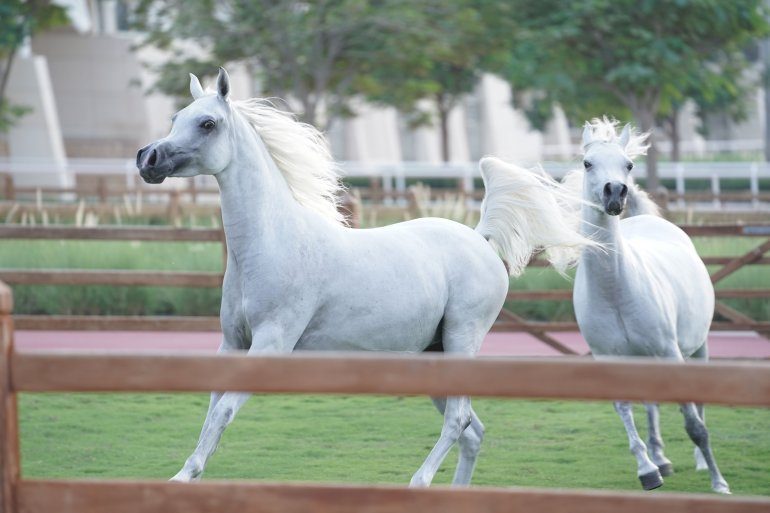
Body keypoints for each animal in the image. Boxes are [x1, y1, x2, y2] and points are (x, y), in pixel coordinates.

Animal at [135, 68, 592, 484]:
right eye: (175, 116)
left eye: (207, 123)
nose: (147, 159)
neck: (274, 243)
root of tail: (480, 238)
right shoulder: (232, 344)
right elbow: (213, 411)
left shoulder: (271, 344)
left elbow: (224, 412)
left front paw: (182, 478)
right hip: (434, 354)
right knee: (472, 431)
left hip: (463, 339)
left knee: (459, 420)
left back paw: (418, 482)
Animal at [568, 117, 728, 492]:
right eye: (587, 163)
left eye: (628, 164)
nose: (615, 192)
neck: (615, 291)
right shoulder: (610, 359)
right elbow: (625, 409)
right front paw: (648, 470)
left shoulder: (670, 353)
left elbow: (695, 425)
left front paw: (719, 483)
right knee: (651, 403)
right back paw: (660, 459)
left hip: (698, 347)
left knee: (698, 402)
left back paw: (701, 462)